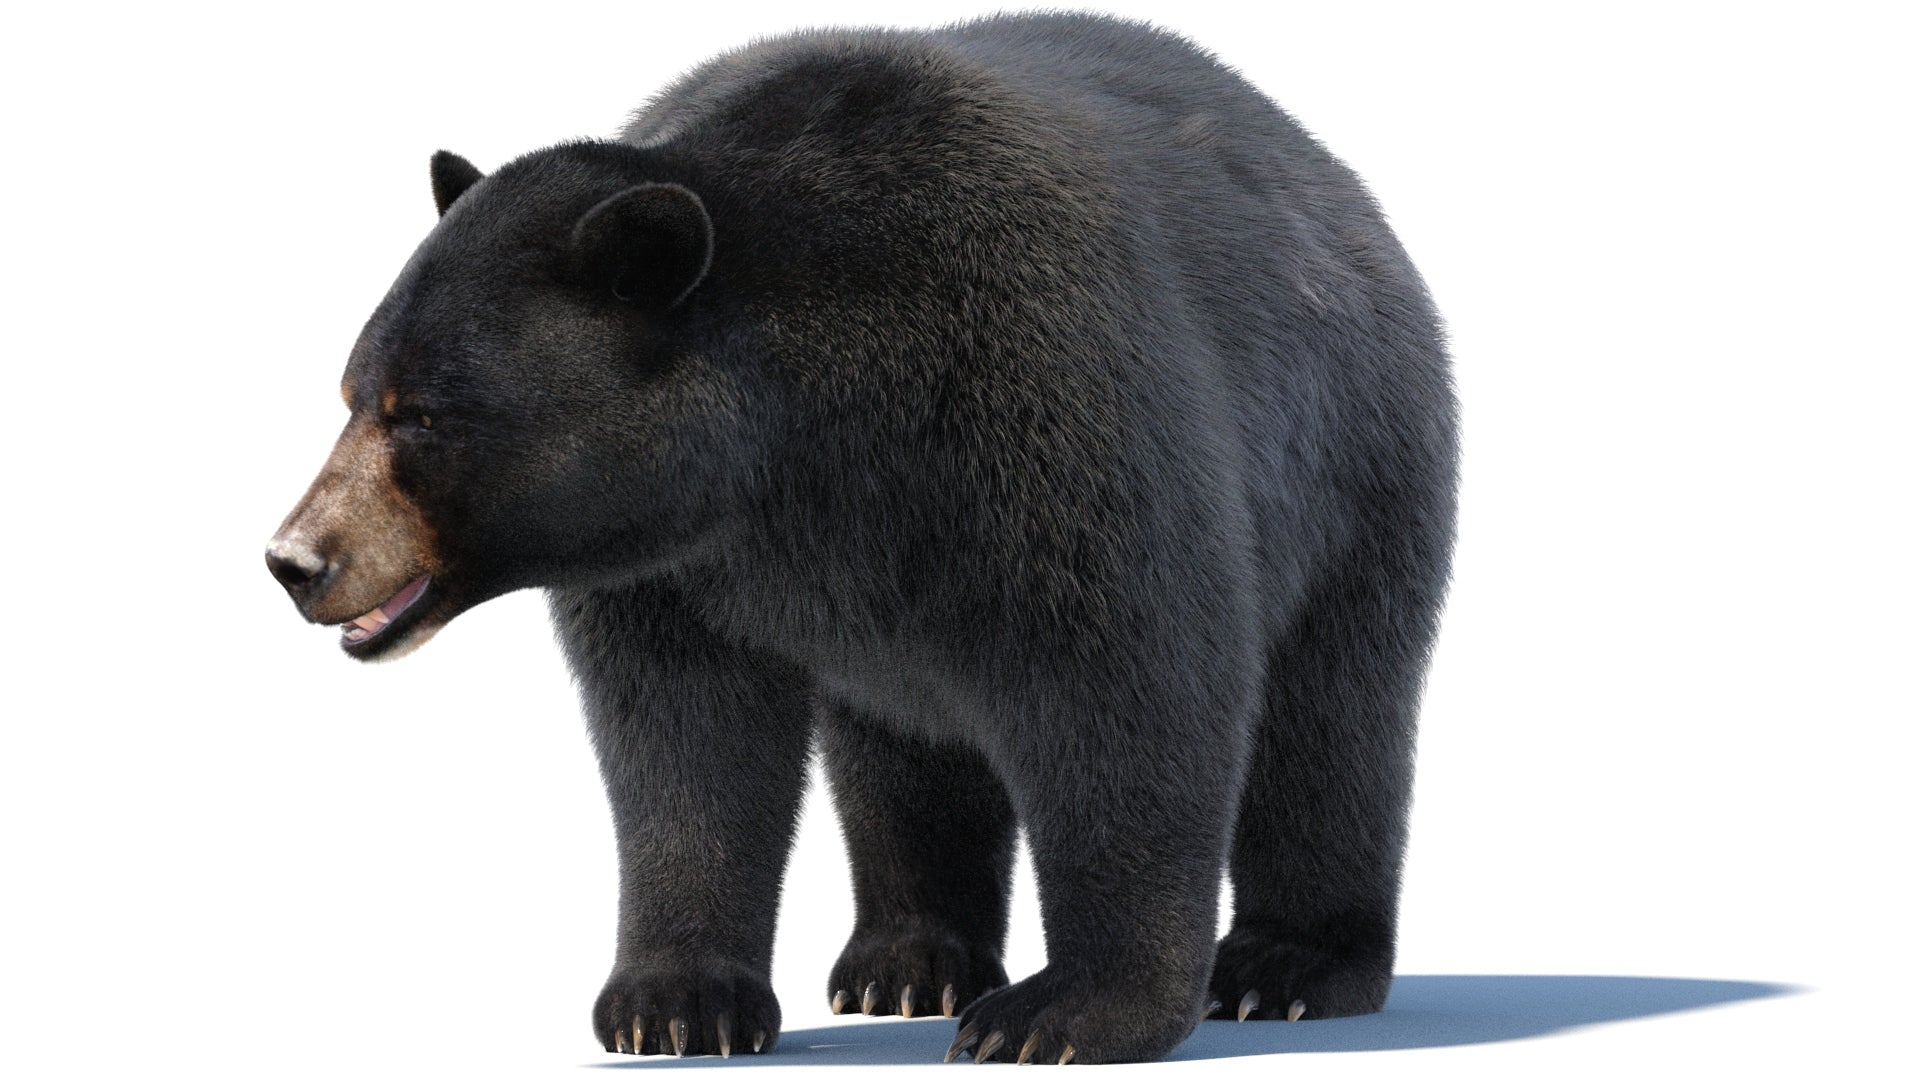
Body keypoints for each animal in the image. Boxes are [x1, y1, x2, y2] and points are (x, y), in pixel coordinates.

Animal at [265, 11, 1456, 1065]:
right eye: (354, 390)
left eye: (423, 414)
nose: (295, 560)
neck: (799, 448)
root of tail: (1334, 176)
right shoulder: (678, 563)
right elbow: (682, 734)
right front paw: (676, 1003)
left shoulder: (1043, 398)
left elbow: (1129, 682)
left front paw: (1064, 1013)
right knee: (901, 751)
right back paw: (908, 961)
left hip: (1357, 460)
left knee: (1333, 713)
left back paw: (1286, 968)